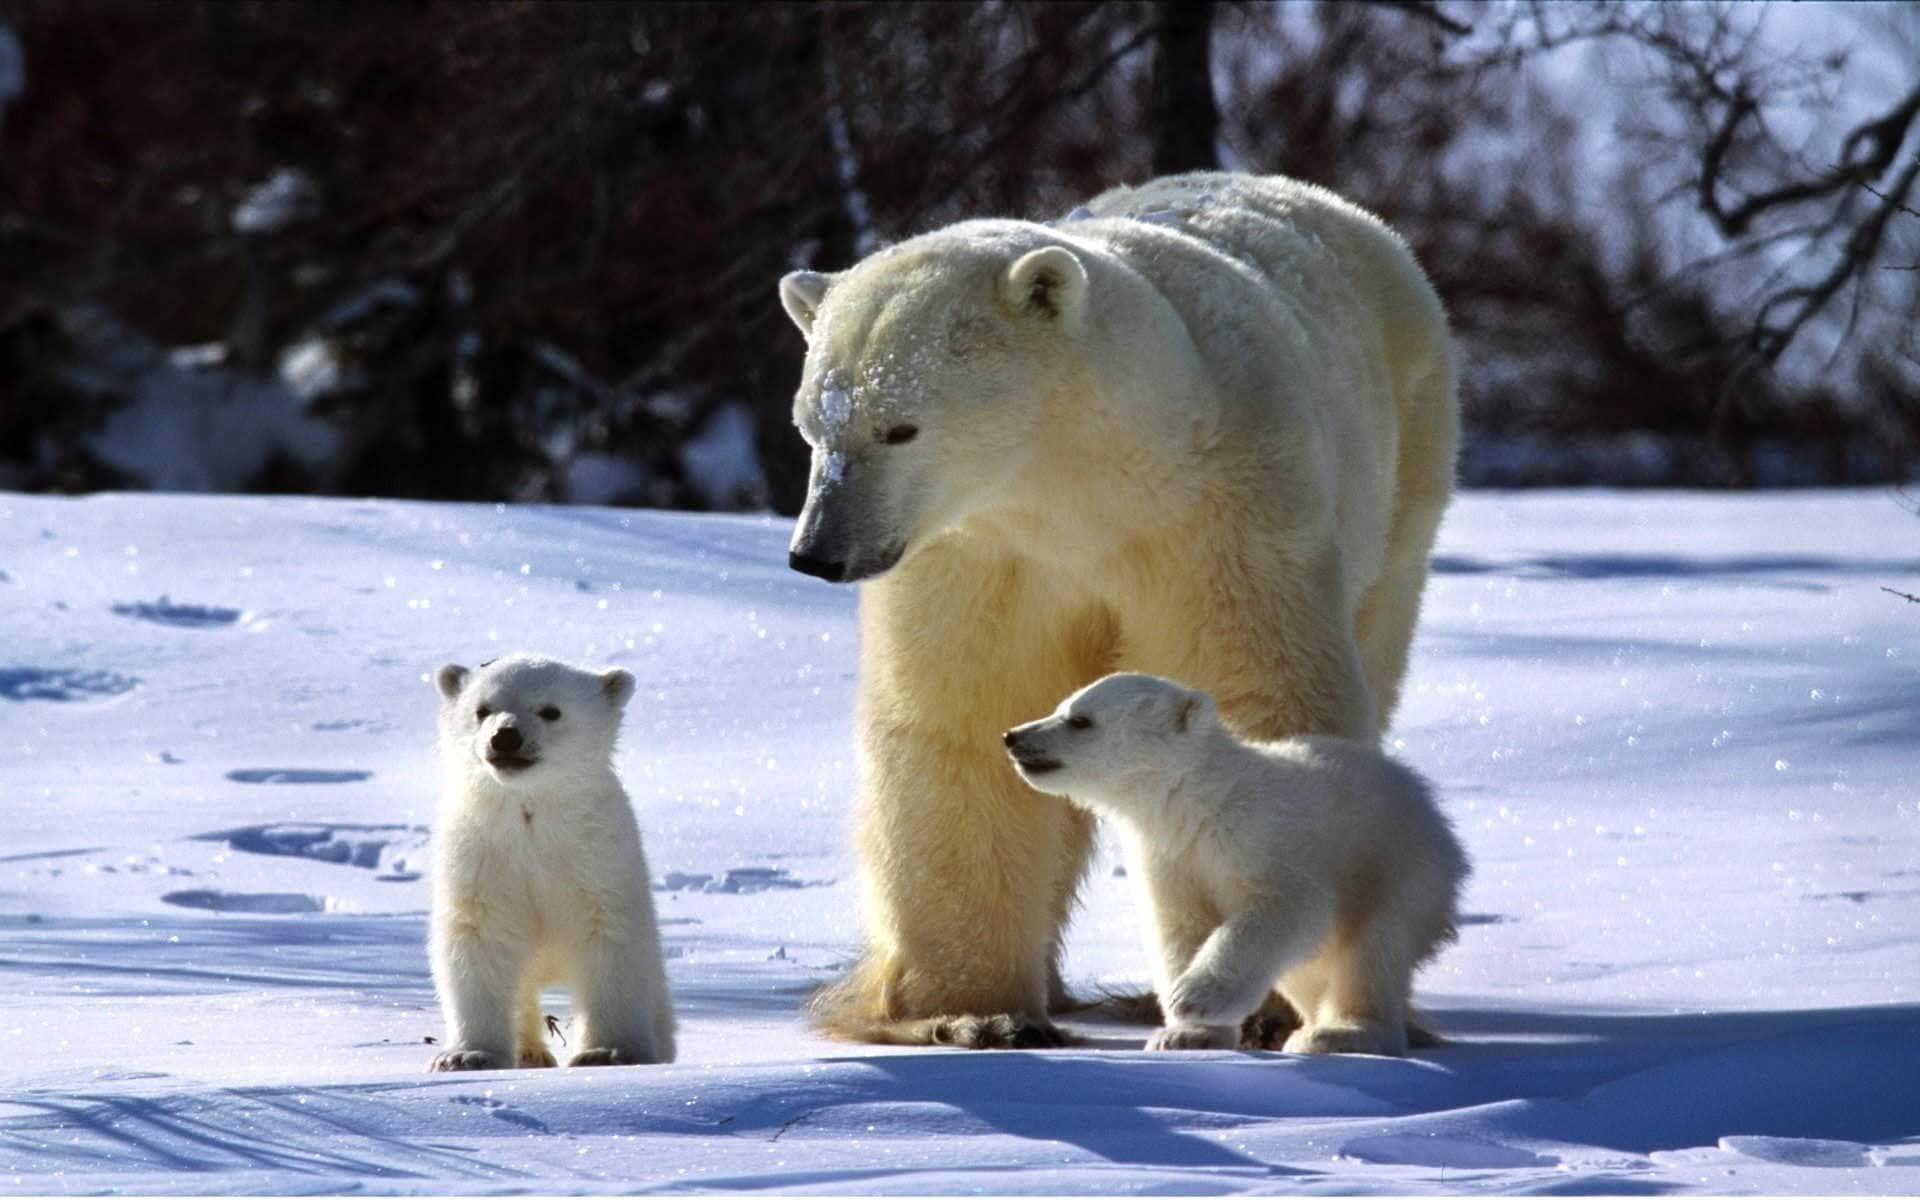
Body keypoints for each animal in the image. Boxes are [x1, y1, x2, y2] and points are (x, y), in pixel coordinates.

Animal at [779, 172, 1451, 1044]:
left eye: (900, 427)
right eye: (810, 425)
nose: (818, 552)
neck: (1085, 487)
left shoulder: (1217, 517)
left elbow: (1253, 688)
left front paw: (1259, 1008)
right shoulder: (981, 554)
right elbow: (963, 716)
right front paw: (972, 1013)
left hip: (1407, 466)